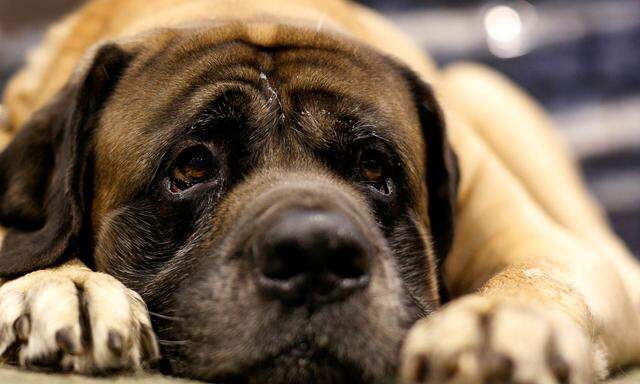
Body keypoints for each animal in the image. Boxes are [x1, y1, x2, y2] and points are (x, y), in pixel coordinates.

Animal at [1, 1, 640, 382]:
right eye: (192, 166)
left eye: (374, 168)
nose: (315, 254)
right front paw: (67, 284)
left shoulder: (543, 242)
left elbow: (537, 274)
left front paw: (496, 323)